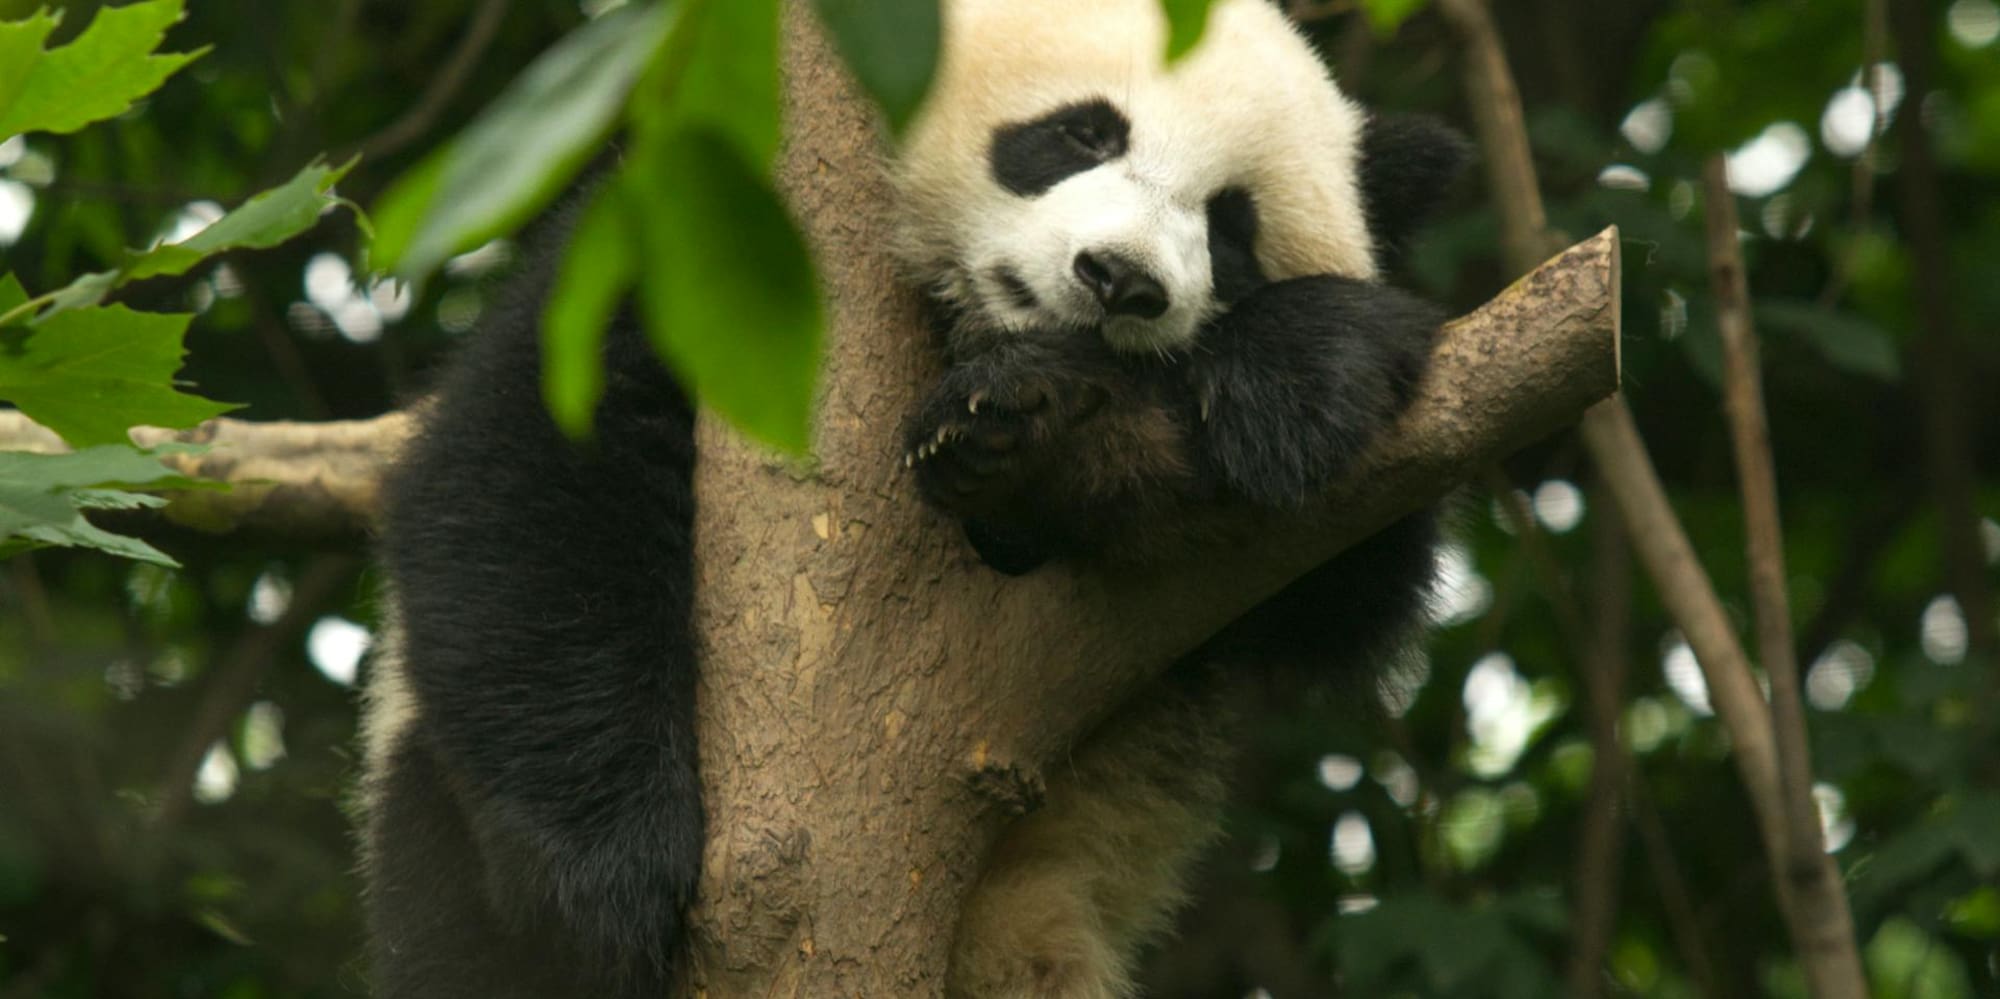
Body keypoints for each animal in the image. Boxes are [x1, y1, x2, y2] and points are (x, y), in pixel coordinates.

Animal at [357, 1, 1465, 997]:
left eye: (1231, 224)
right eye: (1081, 133)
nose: (1119, 279)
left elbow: (1350, 572)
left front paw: (1269, 379)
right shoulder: (685, 261)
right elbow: (528, 486)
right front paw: (614, 875)